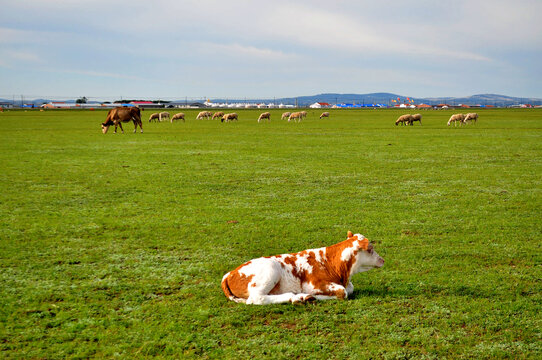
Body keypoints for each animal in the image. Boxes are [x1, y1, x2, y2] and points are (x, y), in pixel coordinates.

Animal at [222, 232, 386, 306]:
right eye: (370, 249)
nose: (382, 260)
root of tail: (229, 273)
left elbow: (349, 289)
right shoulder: (313, 284)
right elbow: (343, 292)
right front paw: (311, 296)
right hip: (270, 270)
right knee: (257, 298)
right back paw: (295, 297)